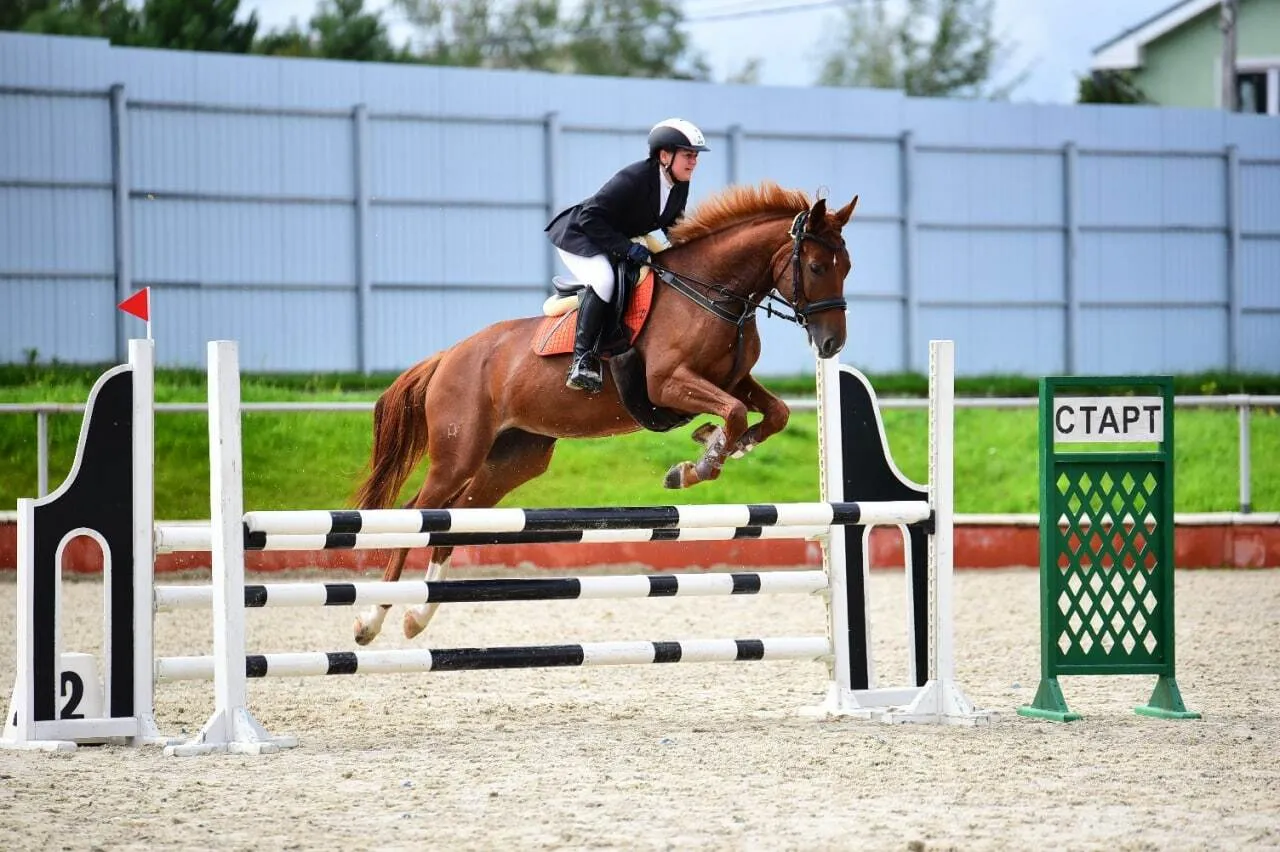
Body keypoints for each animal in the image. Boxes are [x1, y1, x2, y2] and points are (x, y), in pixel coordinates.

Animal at [348, 180, 860, 644]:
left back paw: (418, 617)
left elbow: (774, 414)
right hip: (460, 453)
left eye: (847, 267)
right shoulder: (668, 383)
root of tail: (447, 356)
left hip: (514, 460)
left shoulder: (733, 380)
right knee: (418, 513)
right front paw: (698, 464)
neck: (714, 294)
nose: (831, 344)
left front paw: (719, 447)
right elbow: (734, 413)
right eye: (816, 266)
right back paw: (370, 620)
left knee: (455, 521)